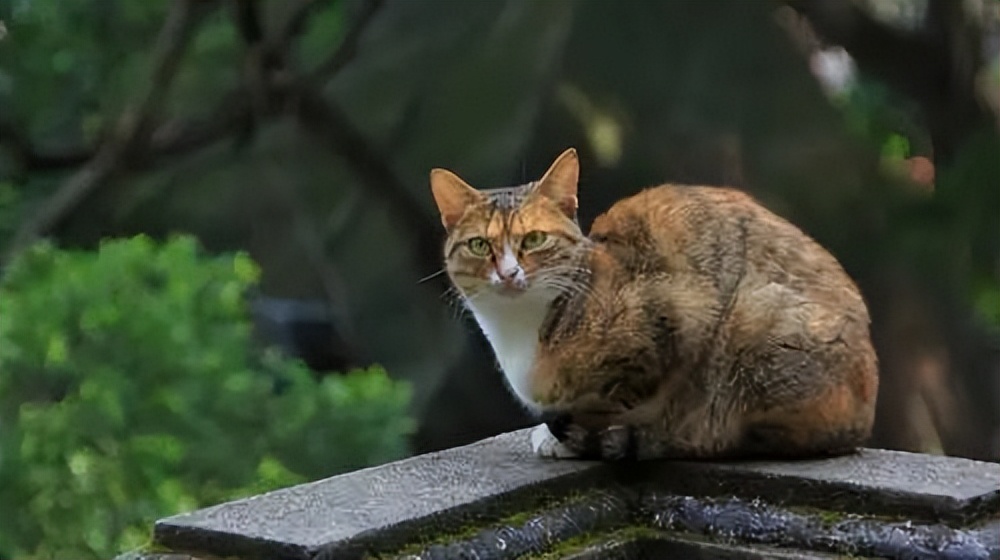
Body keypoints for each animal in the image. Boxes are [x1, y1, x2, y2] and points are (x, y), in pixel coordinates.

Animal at [428, 149, 876, 460]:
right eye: (479, 245)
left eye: (535, 239)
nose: (508, 273)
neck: (521, 330)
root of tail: (861, 418)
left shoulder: (675, 317)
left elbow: (621, 399)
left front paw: (578, 437)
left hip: (756, 320)